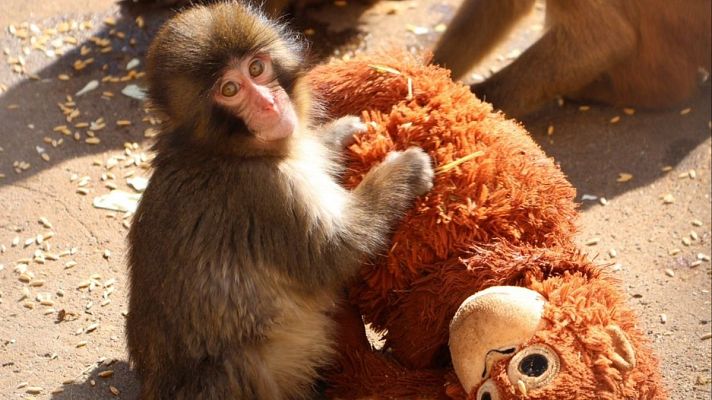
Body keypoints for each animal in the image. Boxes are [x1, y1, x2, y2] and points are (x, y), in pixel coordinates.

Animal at [125, 2, 434, 399]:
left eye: (256, 68)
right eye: (230, 89)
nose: (269, 104)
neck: (226, 151)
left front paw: (338, 134)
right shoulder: (266, 193)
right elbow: (335, 252)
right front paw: (404, 170)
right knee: (237, 363)